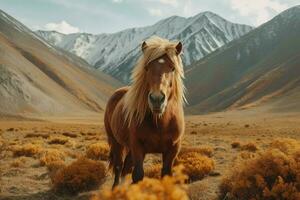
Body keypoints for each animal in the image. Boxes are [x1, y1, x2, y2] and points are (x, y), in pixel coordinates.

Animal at [105, 36, 185, 188]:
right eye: (147, 68)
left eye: (172, 68)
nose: (157, 99)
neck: (160, 122)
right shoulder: (137, 146)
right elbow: (137, 175)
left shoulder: (173, 149)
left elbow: (166, 175)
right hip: (116, 142)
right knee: (119, 166)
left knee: (125, 167)